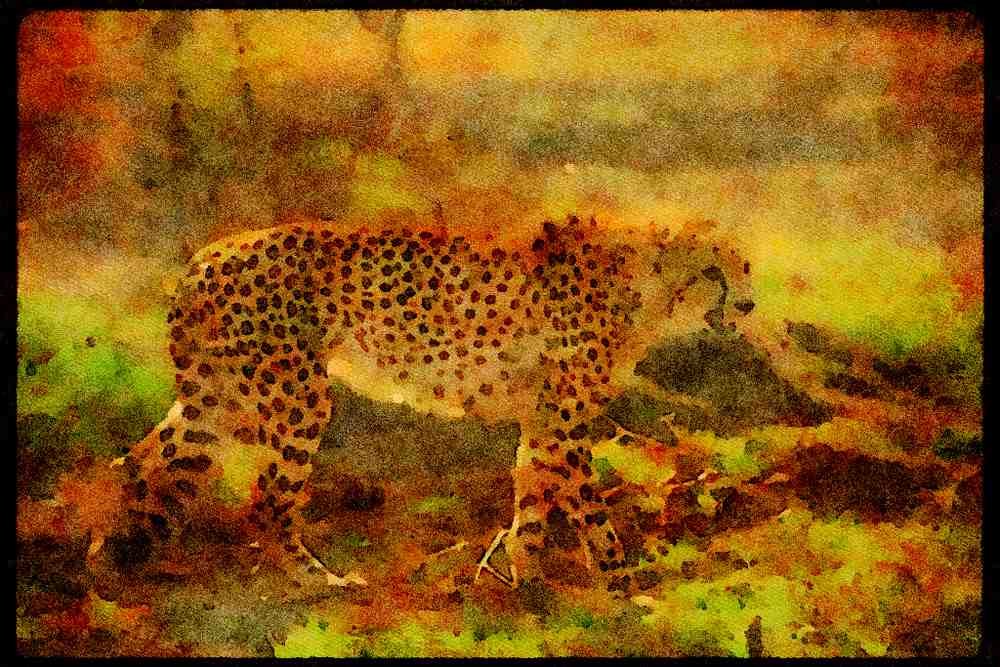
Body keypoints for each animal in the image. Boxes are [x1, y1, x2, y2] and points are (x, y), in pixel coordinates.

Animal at [88, 213, 755, 594]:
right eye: (715, 273)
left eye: (746, 268)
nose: (749, 304)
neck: (646, 287)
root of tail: (205, 255)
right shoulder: (564, 421)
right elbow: (587, 505)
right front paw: (625, 585)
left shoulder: (543, 417)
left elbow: (533, 495)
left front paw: (523, 581)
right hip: (297, 397)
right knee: (267, 498)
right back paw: (319, 582)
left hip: (217, 400)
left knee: (137, 460)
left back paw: (116, 559)